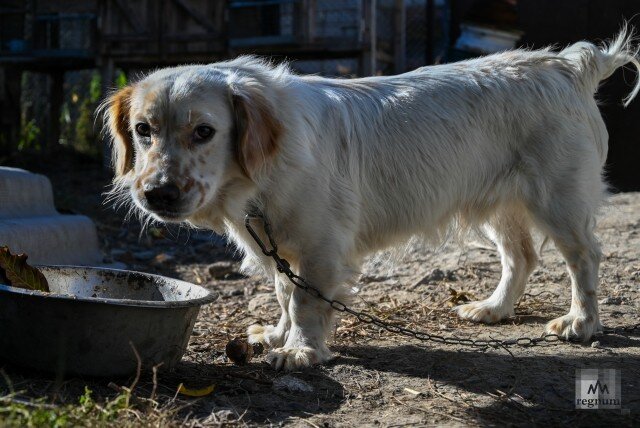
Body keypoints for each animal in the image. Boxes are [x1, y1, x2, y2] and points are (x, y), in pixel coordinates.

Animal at [104, 29, 640, 372]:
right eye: (143, 130)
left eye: (204, 131)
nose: (156, 193)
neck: (261, 173)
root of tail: (567, 64)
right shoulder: (282, 247)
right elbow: (283, 292)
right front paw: (277, 336)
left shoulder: (321, 248)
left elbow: (303, 301)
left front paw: (298, 351)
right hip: (499, 206)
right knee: (522, 257)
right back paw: (493, 309)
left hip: (558, 201)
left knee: (584, 258)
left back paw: (581, 323)